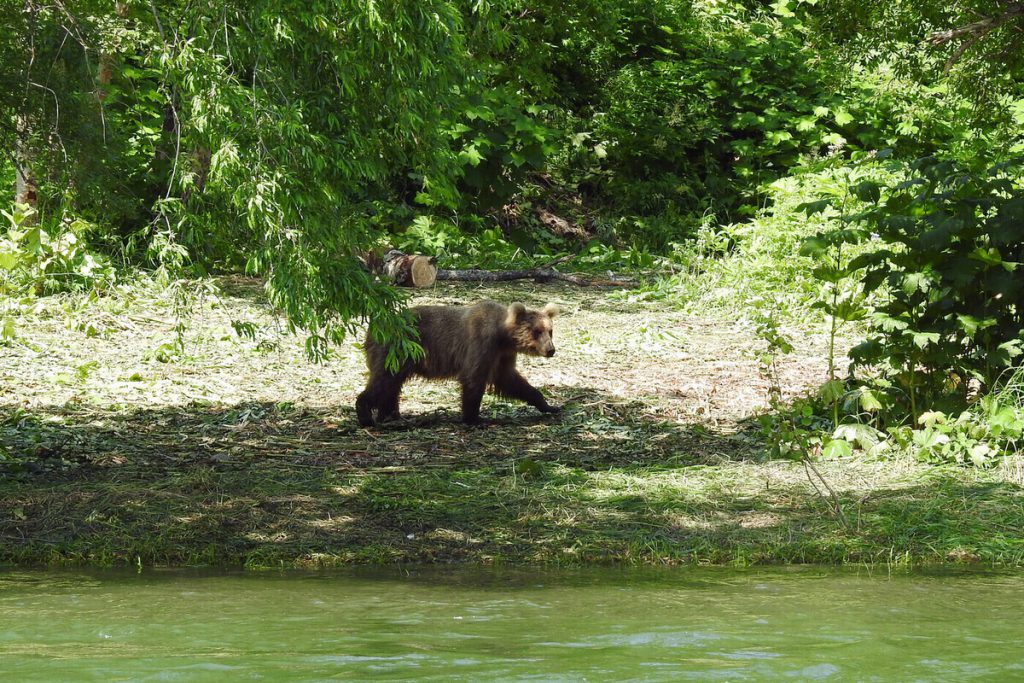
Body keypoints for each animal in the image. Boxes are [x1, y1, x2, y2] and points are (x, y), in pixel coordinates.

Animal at [356, 300, 562, 426]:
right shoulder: (481, 343)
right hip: (396, 351)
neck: (503, 336)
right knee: (383, 381)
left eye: (550, 331)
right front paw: (474, 418)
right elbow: (473, 378)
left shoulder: (502, 356)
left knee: (391, 385)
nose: (551, 350)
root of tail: (372, 329)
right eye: (536, 331)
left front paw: (549, 405)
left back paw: (389, 415)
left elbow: (510, 380)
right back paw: (366, 415)